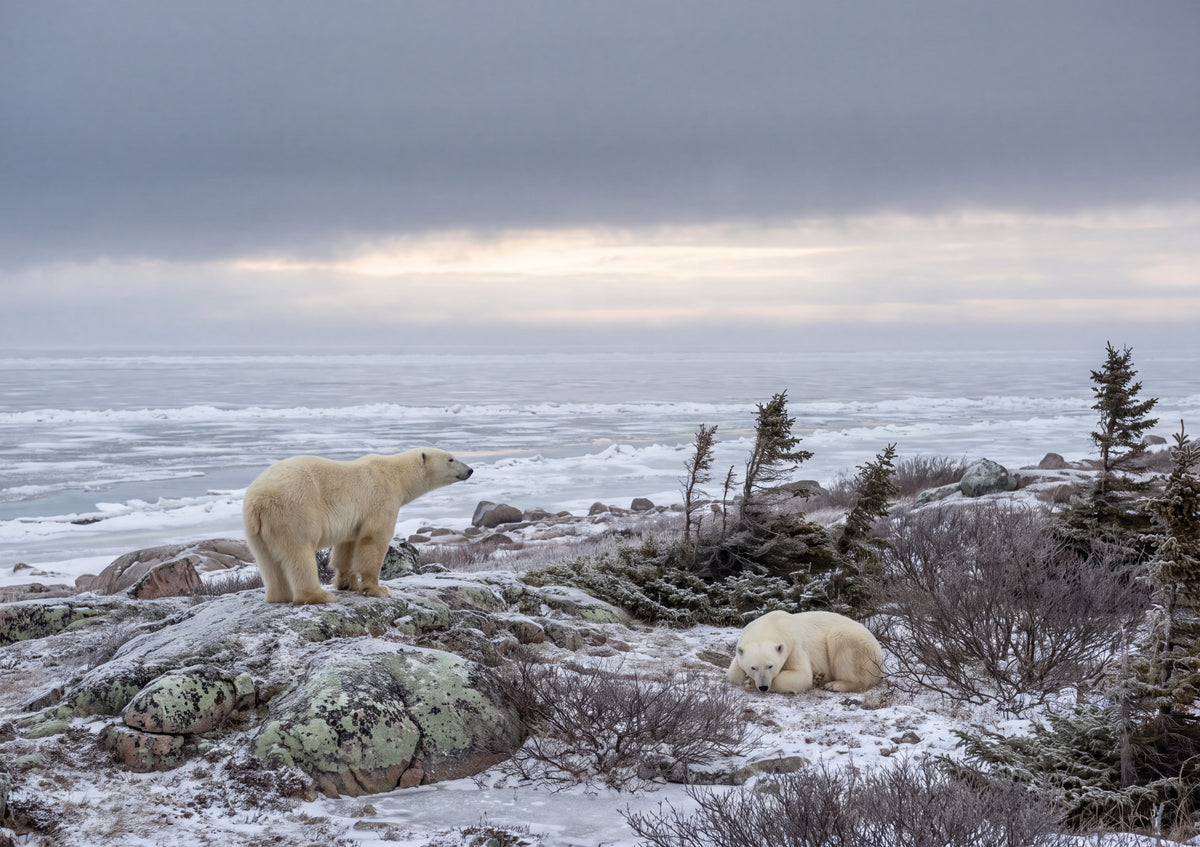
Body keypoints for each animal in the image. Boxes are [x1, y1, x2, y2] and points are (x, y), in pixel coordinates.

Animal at [242, 447, 473, 605]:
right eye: (451, 458)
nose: (470, 470)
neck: (395, 475)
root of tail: (259, 500)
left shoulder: (353, 519)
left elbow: (347, 546)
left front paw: (347, 584)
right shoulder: (381, 499)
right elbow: (374, 539)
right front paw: (378, 589)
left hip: (255, 528)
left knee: (267, 560)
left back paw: (278, 596)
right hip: (294, 512)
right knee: (299, 553)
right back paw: (319, 595)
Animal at [727, 610, 883, 694]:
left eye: (770, 666)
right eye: (753, 667)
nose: (764, 686)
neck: (771, 624)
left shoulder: (794, 645)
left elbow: (801, 676)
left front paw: (750, 683)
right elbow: (733, 673)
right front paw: (746, 678)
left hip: (861, 647)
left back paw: (834, 685)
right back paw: (820, 678)